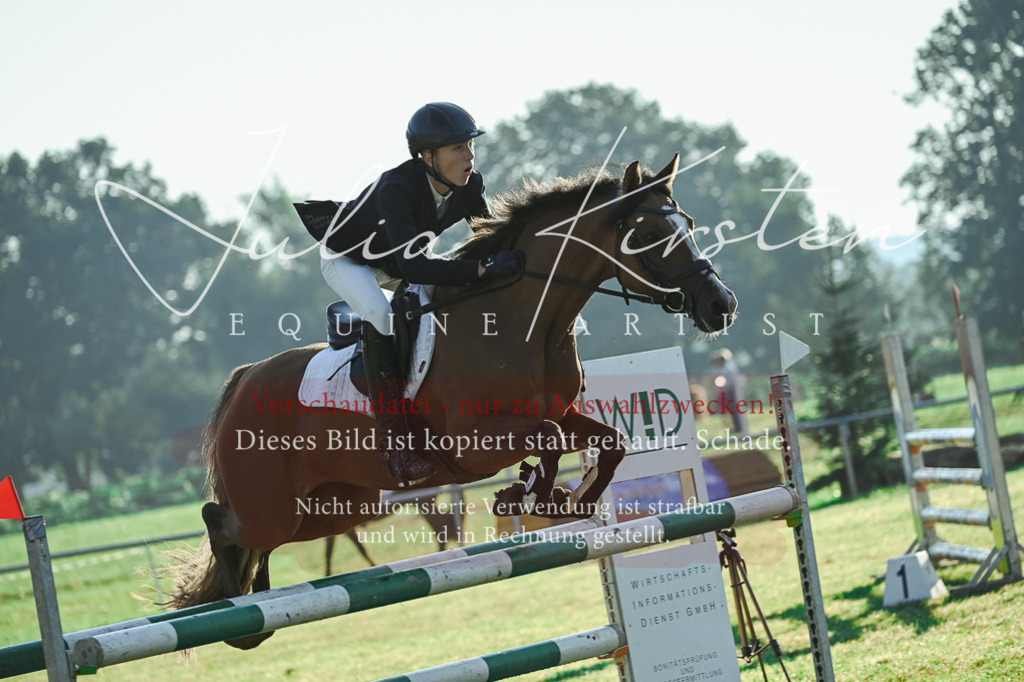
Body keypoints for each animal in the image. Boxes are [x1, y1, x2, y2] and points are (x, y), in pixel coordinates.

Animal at [170, 154, 737, 649]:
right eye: (647, 233)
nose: (721, 305)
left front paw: (564, 499)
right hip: (276, 507)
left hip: (336, 505)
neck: (522, 319)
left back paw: (257, 600)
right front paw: (531, 493)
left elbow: (609, 441)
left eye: (687, 222)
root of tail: (243, 380)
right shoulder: (474, 443)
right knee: (221, 522)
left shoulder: (555, 412)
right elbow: (550, 440)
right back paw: (243, 620)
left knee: (260, 541)